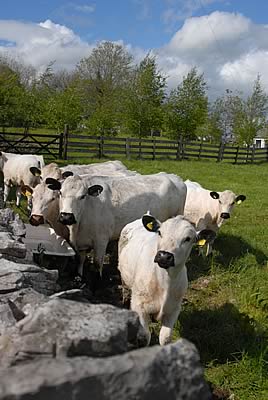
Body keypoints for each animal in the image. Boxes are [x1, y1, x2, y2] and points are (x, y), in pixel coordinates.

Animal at [46, 173, 187, 276]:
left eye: (82, 196)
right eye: (60, 193)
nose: (66, 216)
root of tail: (173, 177)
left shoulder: (101, 240)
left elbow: (97, 264)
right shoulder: (82, 242)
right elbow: (80, 260)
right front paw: (80, 277)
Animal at [118, 214, 215, 346]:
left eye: (188, 238)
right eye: (160, 232)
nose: (164, 256)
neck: (164, 282)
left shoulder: (174, 308)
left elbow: (165, 338)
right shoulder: (139, 305)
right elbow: (144, 337)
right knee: (125, 289)